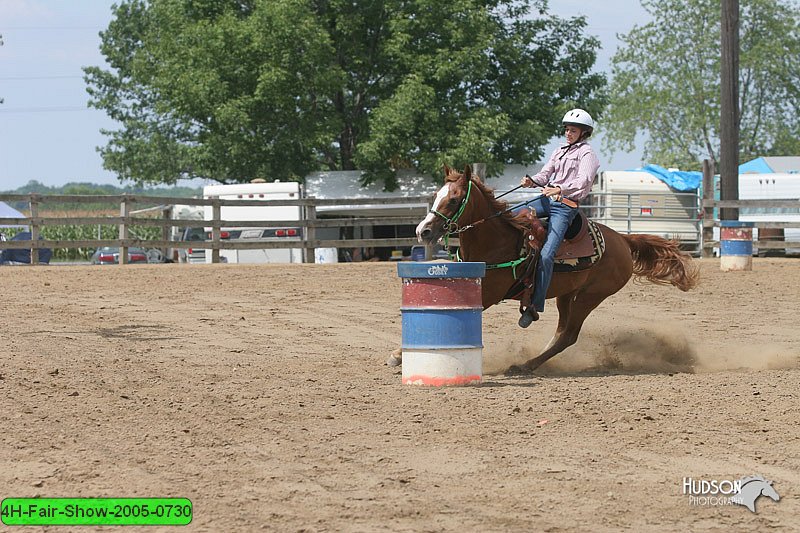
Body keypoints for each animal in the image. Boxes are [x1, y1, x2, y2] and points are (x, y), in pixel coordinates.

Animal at [400, 165, 700, 374]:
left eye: (453, 199)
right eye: (435, 195)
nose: (423, 231)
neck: (497, 241)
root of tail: (623, 240)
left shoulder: (488, 295)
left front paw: (397, 355)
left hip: (591, 296)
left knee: (569, 335)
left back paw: (526, 366)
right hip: (567, 295)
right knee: (560, 331)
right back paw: (529, 361)